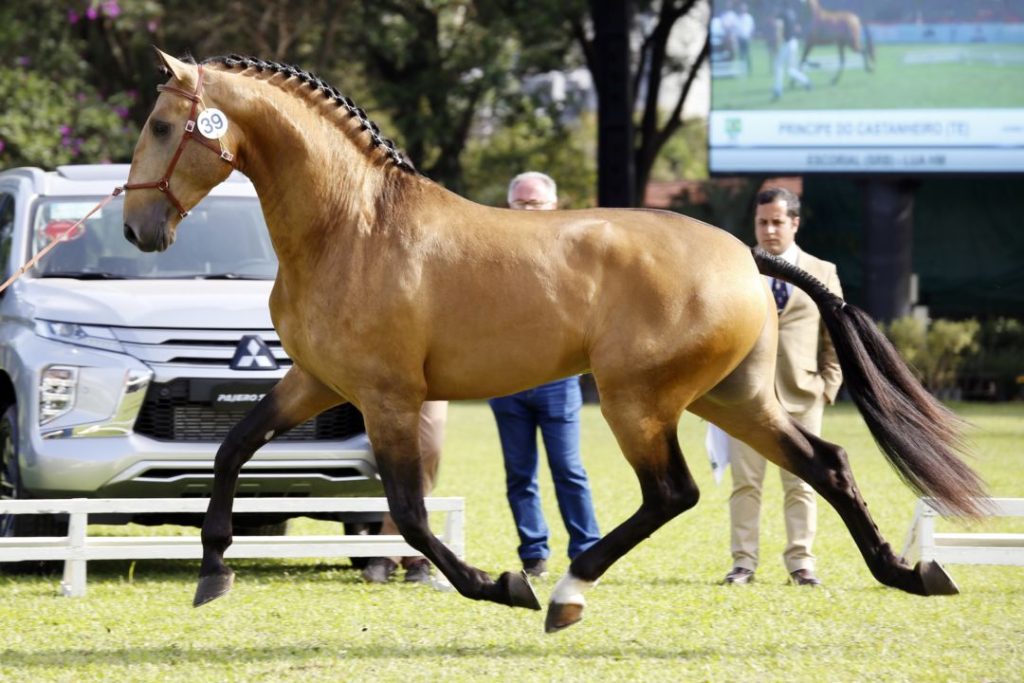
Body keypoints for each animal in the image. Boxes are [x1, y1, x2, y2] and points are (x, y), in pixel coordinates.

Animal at [123, 50, 987, 634]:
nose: (138, 230)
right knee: (828, 462)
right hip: (731, 397)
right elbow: (234, 446)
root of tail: (748, 254)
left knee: (673, 493)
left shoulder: (388, 397)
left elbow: (409, 512)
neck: (351, 226)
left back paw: (565, 592)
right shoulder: (317, 381)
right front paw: (211, 571)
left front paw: (501, 583)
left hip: (640, 401)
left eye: (163, 126)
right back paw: (912, 571)